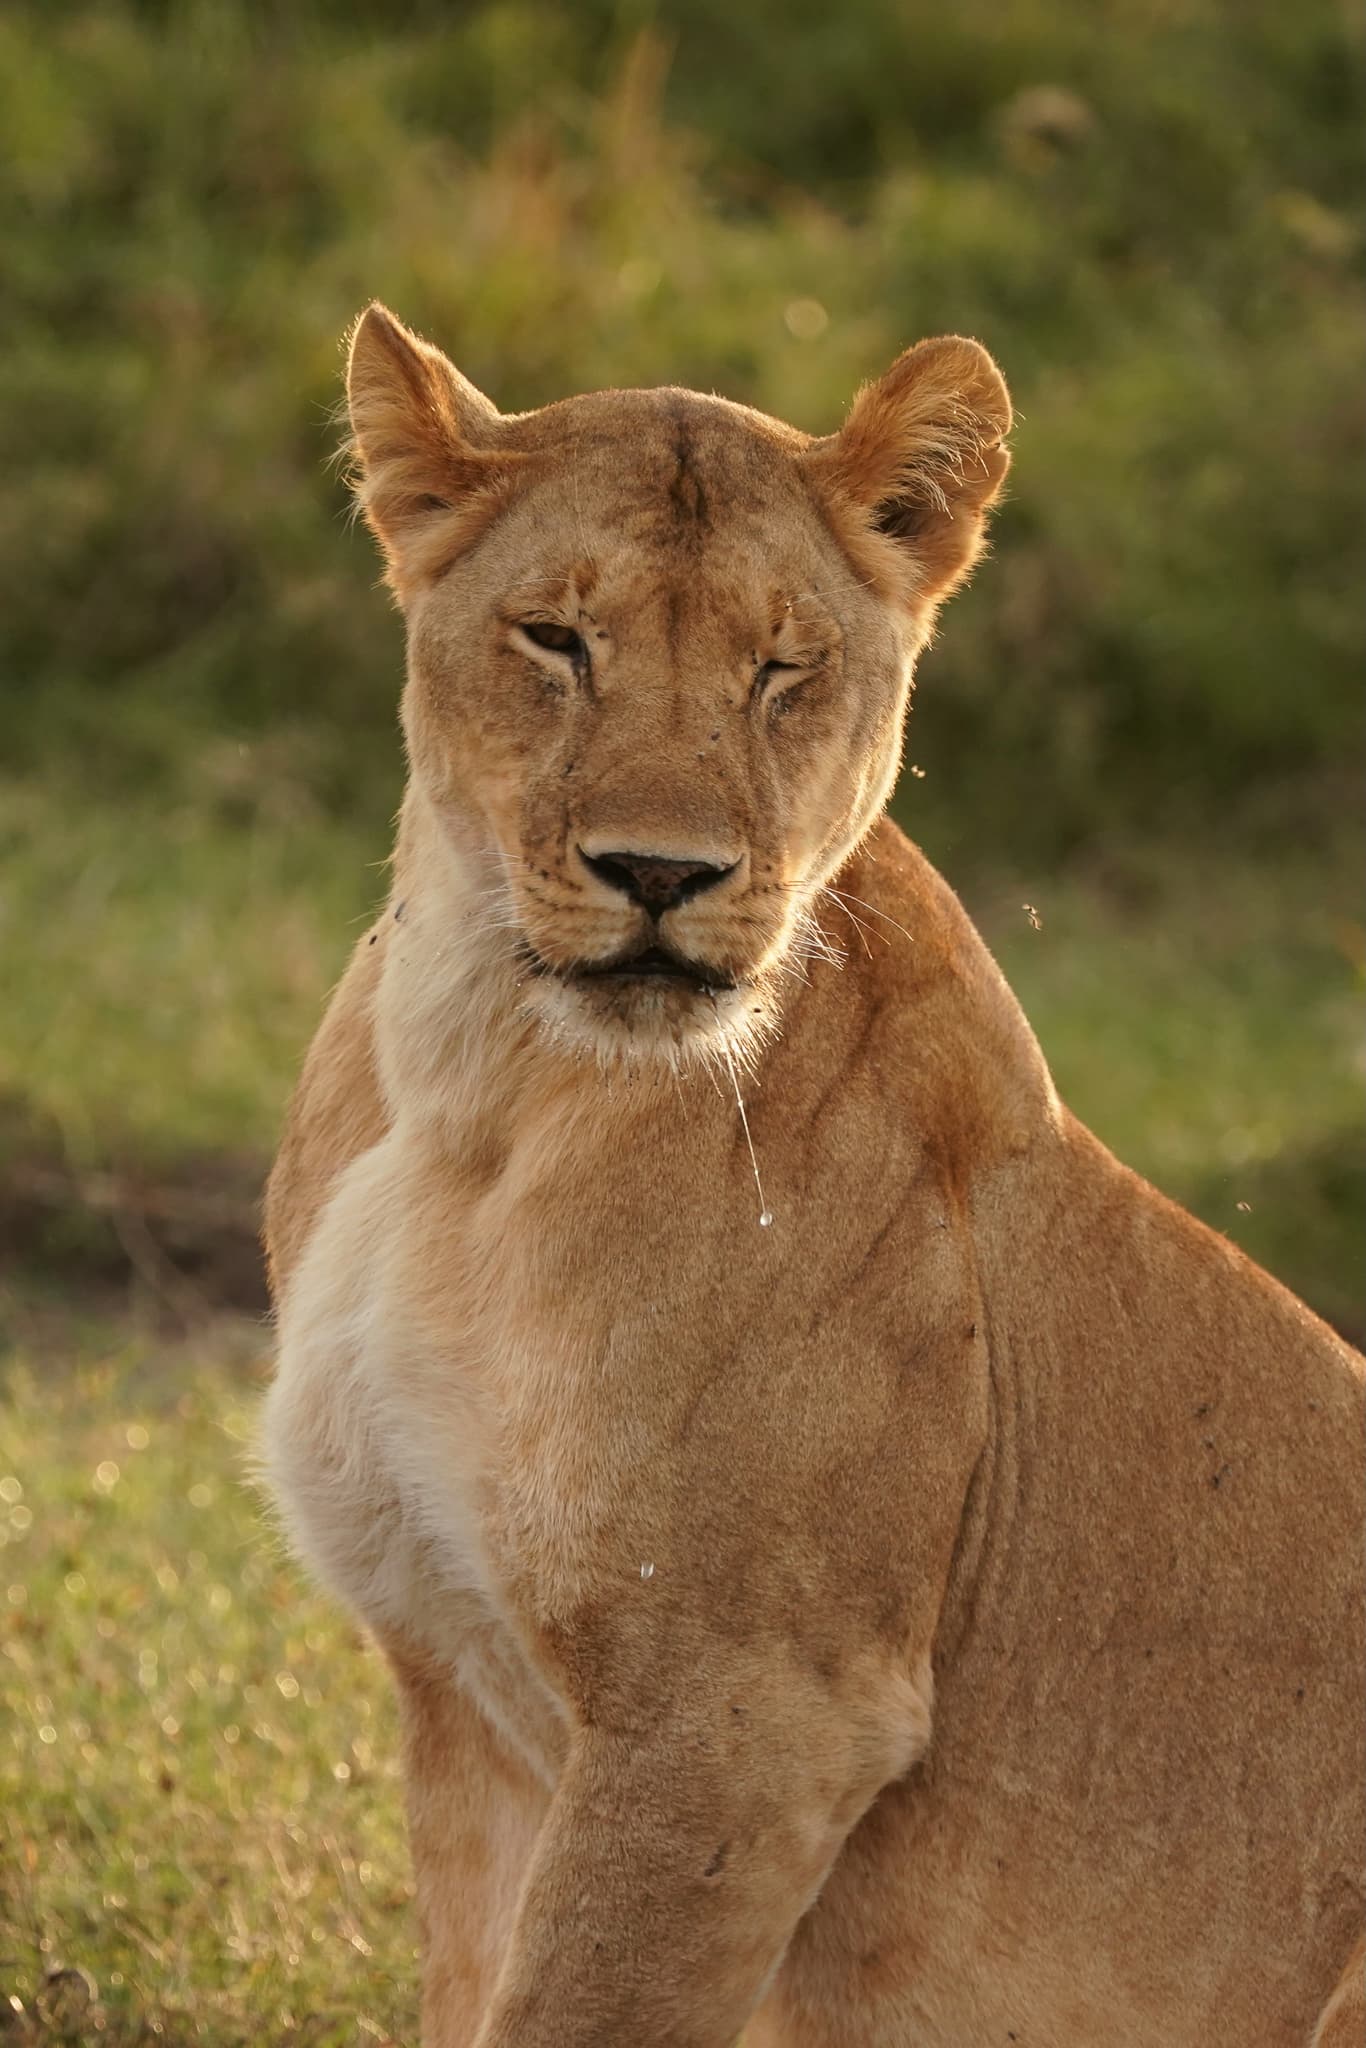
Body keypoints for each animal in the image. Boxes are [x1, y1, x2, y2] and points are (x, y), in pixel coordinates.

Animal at [261, 304, 1363, 2047]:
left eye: (782, 669)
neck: (474, 1080)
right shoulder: (464, 1701)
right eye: (554, 640)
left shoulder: (749, 1709)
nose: (659, 874)